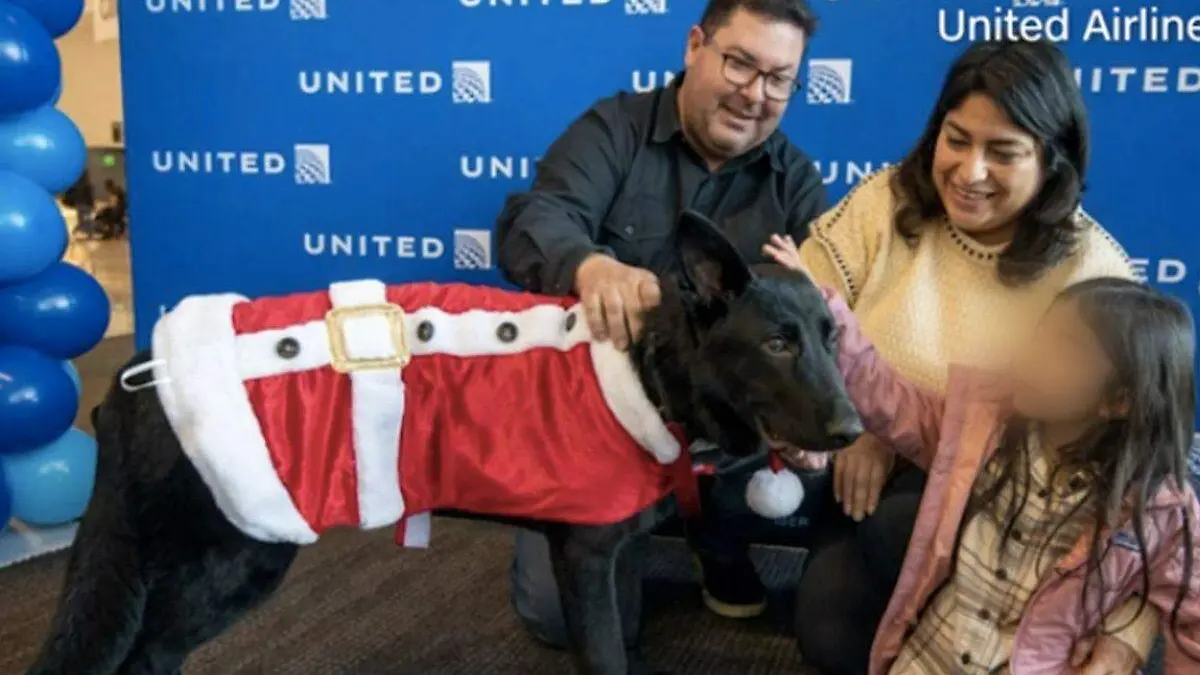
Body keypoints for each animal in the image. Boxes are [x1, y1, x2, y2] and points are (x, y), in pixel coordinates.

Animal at [23, 211, 859, 672]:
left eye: (829, 337)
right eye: (777, 344)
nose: (854, 430)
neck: (650, 369)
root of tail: (139, 371)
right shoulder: (585, 558)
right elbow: (605, 652)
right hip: (232, 556)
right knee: (147, 654)